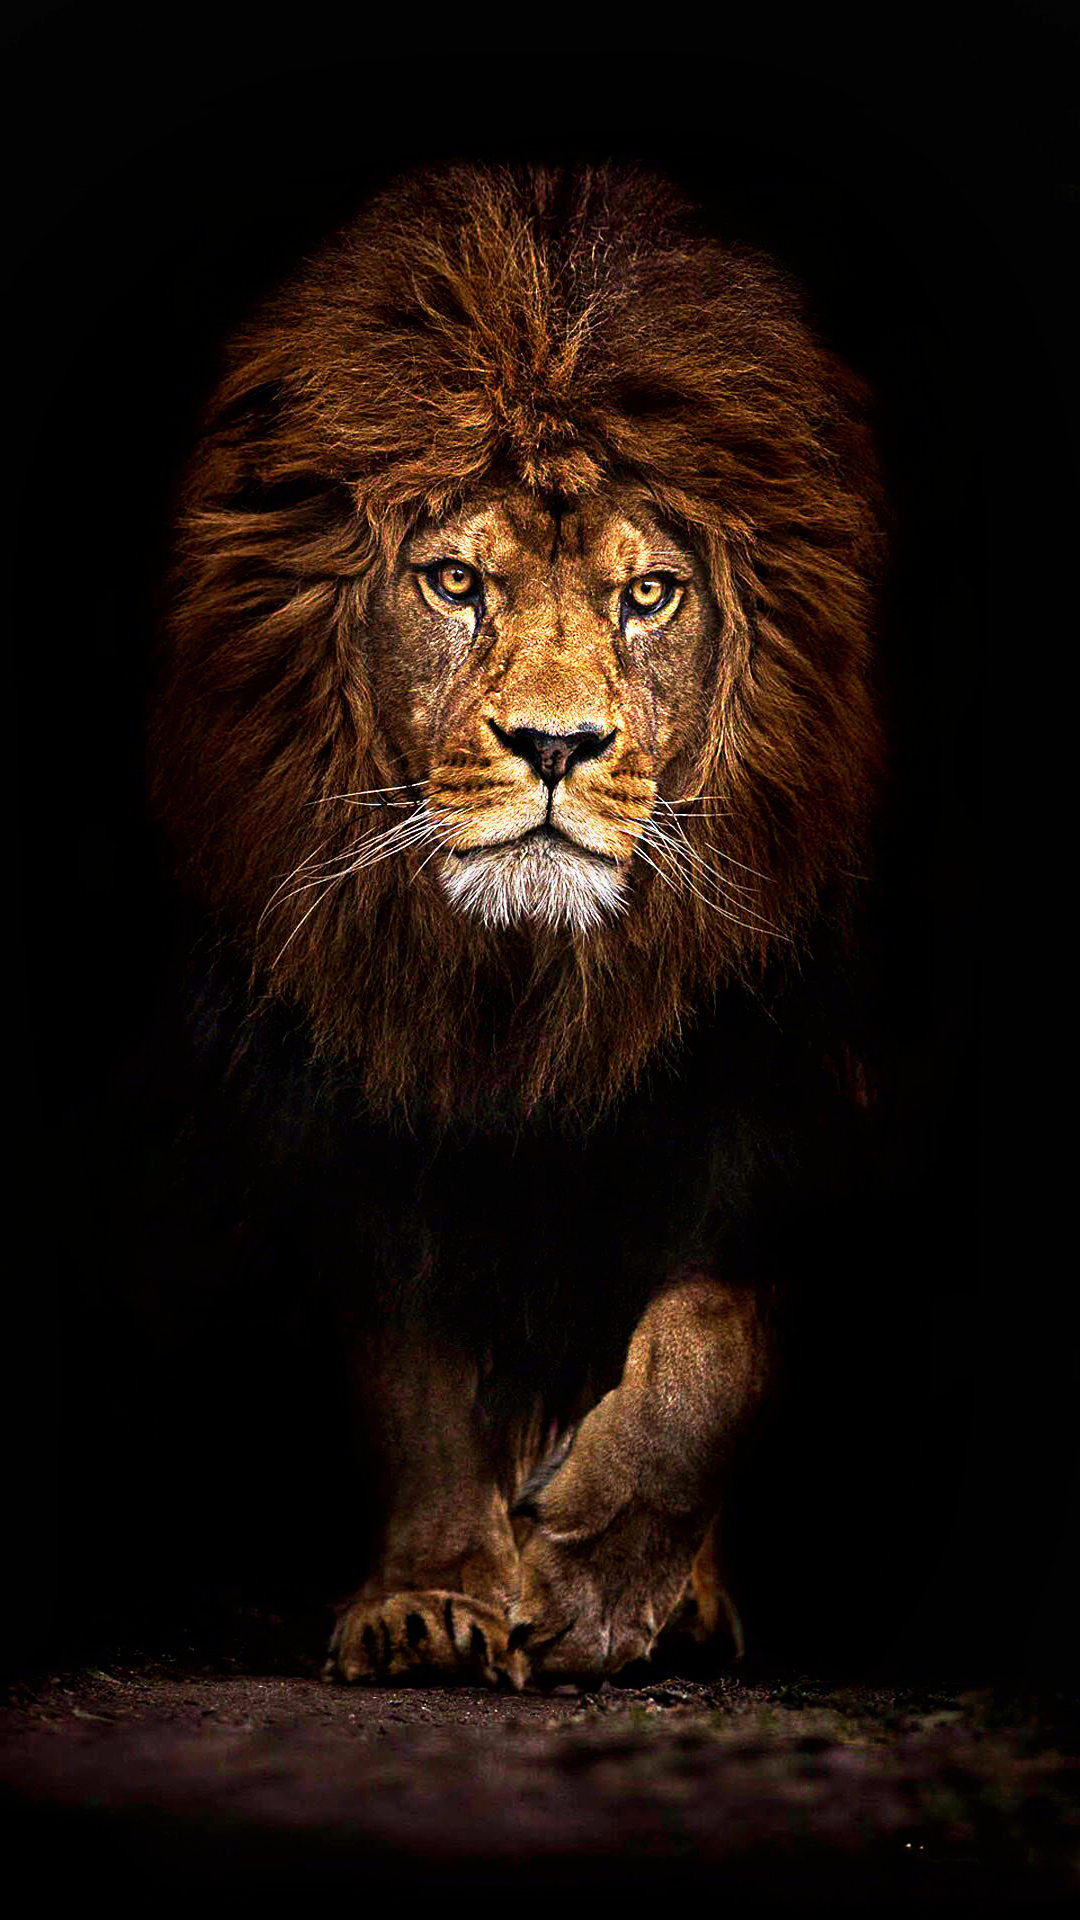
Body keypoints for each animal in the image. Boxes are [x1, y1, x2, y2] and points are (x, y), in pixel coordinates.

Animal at [153, 163, 883, 1686]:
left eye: (648, 593)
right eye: (454, 582)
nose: (555, 745)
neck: (526, 988)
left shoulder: (789, 1078)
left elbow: (712, 1342)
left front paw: (599, 1583)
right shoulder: (359, 1090)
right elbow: (414, 1371)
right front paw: (437, 1596)